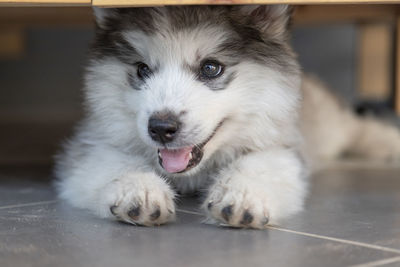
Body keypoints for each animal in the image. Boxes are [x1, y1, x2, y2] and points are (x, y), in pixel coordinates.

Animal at [54, 5, 400, 229]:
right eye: (142, 69)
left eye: (211, 68)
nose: (161, 128)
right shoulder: (93, 141)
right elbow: (112, 161)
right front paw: (139, 188)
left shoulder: (282, 143)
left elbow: (259, 164)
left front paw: (242, 194)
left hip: (328, 124)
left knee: (356, 127)